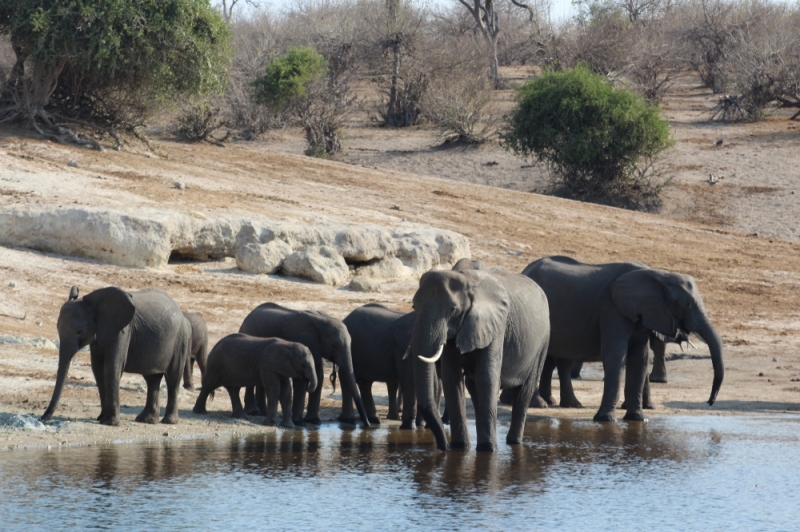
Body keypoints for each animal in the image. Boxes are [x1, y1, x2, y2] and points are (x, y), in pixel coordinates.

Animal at [42, 286, 191, 426]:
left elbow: (112, 367)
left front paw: (109, 422)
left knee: (172, 378)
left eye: (79, 331)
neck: (94, 304)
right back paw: (146, 420)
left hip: (181, 339)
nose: (43, 418)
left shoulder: (122, 331)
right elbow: (98, 369)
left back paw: (168, 421)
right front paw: (101, 418)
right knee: (152, 378)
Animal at [239, 303, 371, 428]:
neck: (323, 321)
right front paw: (299, 422)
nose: (367, 425)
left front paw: (313, 421)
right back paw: (253, 412)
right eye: (333, 345)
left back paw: (262, 413)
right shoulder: (302, 341)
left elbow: (318, 374)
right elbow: (301, 379)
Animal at [410, 266, 551, 452]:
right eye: (413, 306)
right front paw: (460, 447)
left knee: (525, 389)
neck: (466, 280)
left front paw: (488, 450)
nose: (444, 447)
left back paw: (513, 442)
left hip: (543, 342)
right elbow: (451, 379)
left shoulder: (496, 326)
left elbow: (487, 377)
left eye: (453, 309)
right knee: (473, 384)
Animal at [522, 256, 724, 422]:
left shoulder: (640, 313)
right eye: (687, 304)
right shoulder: (612, 309)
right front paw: (605, 420)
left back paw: (568, 404)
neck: (658, 275)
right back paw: (541, 404)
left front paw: (637, 418)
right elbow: (616, 355)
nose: (710, 402)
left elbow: (639, 358)